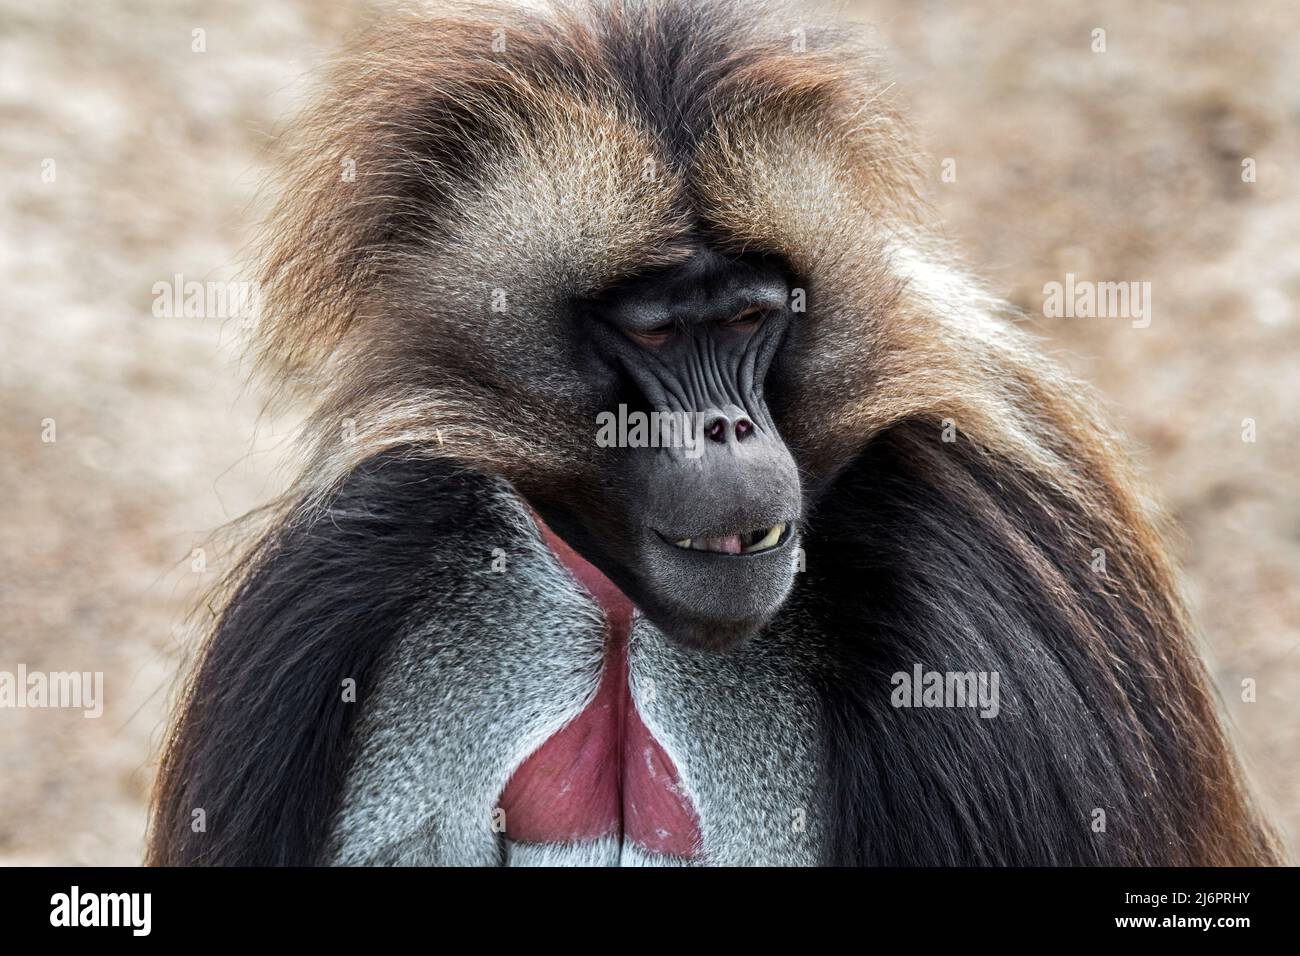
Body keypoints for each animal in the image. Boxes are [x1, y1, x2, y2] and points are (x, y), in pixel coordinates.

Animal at [152, 0, 1279, 868]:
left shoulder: (975, 623)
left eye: (745, 317)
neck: (623, 611)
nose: (729, 431)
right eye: (655, 330)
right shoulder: (354, 566)